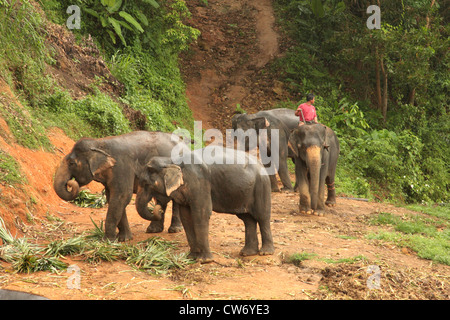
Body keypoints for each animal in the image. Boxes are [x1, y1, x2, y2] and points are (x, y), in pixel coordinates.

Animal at [53, 130, 189, 240]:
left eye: (72, 163)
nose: (70, 182)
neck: (100, 143)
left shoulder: (122, 167)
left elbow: (121, 197)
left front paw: (107, 241)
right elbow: (113, 198)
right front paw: (124, 239)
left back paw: (174, 229)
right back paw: (153, 229)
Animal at [134, 148, 274, 262]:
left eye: (146, 184)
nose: (158, 208)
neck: (171, 160)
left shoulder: (200, 182)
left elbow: (201, 214)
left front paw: (204, 260)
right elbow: (186, 217)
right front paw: (191, 257)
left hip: (262, 186)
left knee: (262, 217)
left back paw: (265, 252)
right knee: (247, 219)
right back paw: (247, 253)